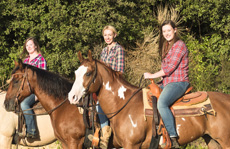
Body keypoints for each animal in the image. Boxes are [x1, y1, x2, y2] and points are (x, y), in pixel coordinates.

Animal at [68, 50, 230, 148]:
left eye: (88, 73)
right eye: (76, 73)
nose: (72, 97)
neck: (124, 105)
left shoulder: (132, 145)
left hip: (225, 141)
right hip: (212, 140)